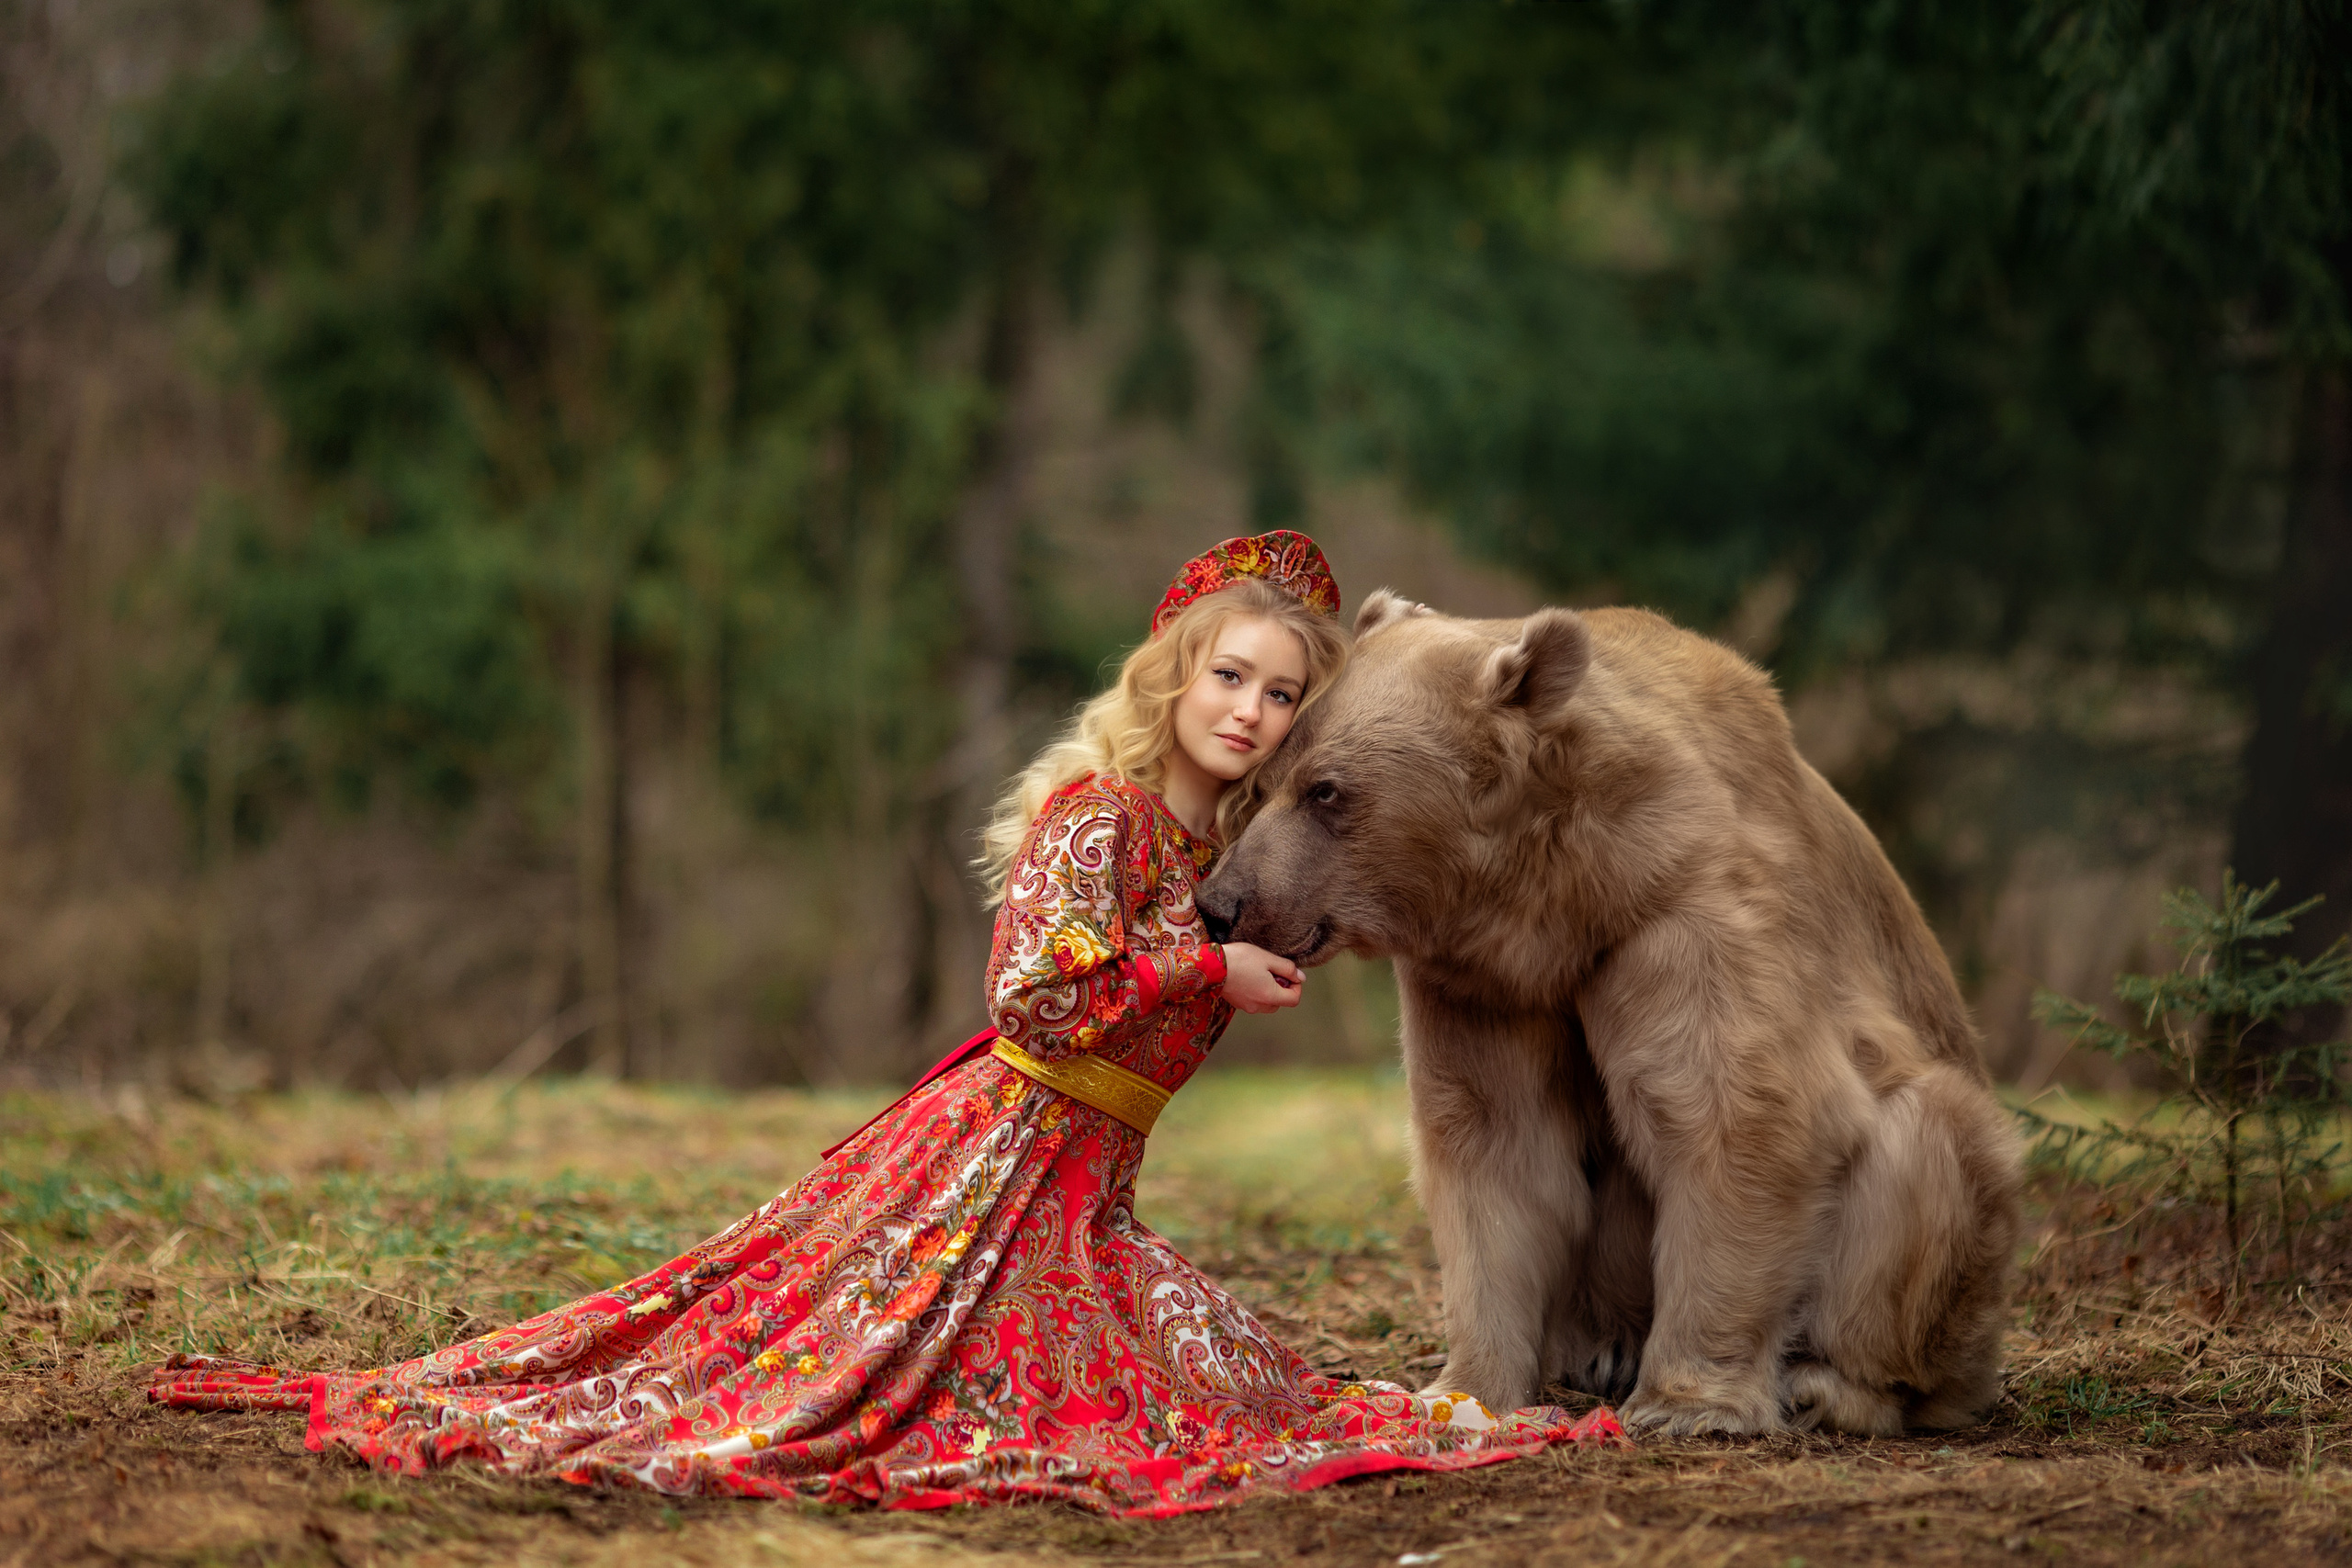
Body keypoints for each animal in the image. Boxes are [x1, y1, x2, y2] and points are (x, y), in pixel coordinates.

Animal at [1197, 591, 2020, 1437]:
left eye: (1326, 789)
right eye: (1266, 779)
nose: (1221, 903)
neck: (1560, 897)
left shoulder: (1682, 908)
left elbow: (1736, 1113)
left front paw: (1687, 1404)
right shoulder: (1479, 980)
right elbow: (1496, 1143)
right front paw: (1456, 1388)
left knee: (1925, 1147)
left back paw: (1830, 1383)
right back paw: (1605, 1352)